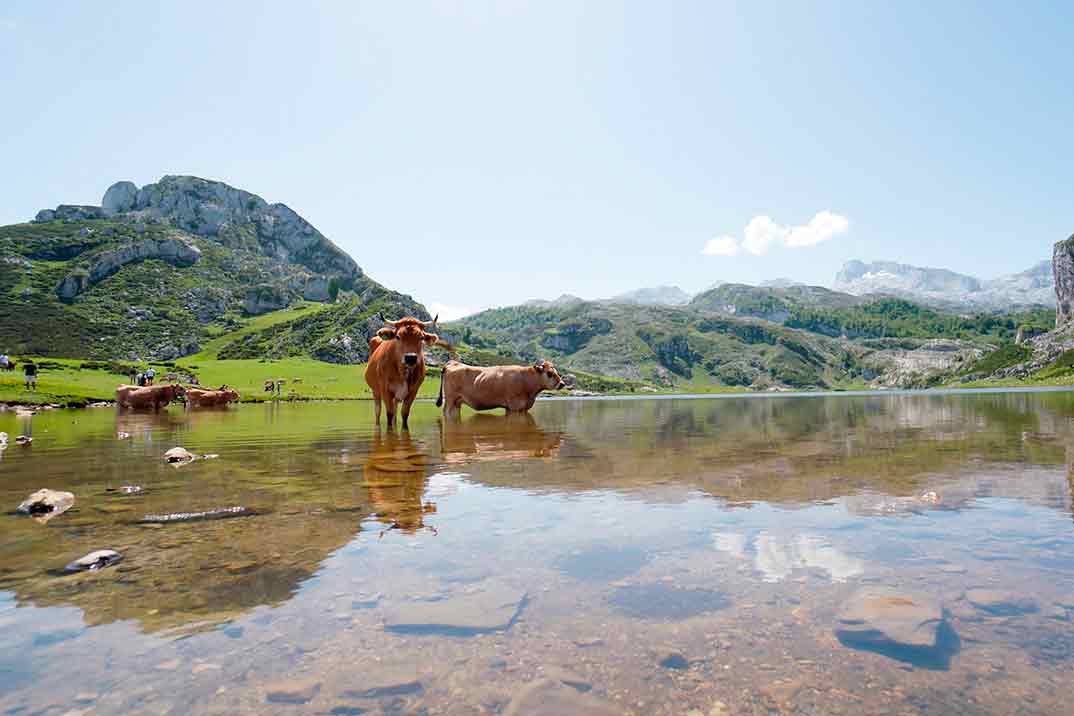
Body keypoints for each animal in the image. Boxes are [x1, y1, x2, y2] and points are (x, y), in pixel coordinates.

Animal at [436, 358, 571, 420]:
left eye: (557, 372)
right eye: (549, 373)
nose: (562, 384)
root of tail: (453, 363)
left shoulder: (519, 409)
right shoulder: (515, 406)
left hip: (457, 402)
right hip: (450, 399)